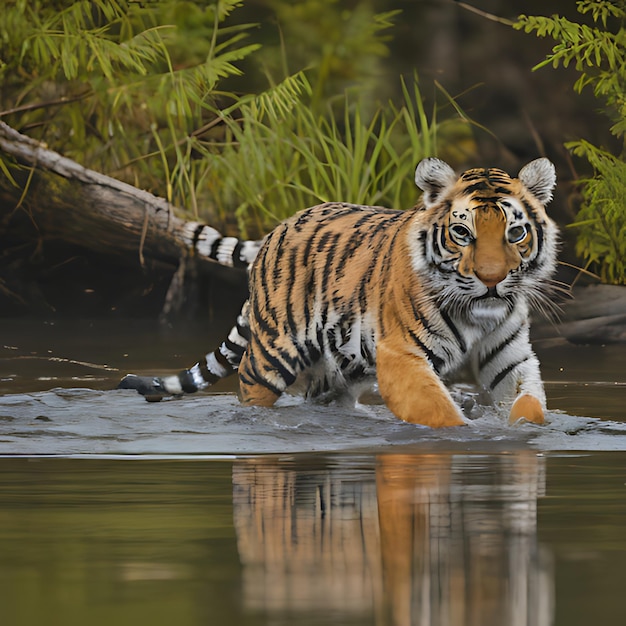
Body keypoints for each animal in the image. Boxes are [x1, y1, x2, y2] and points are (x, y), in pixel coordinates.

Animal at [119, 158, 560, 426]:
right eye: (462, 232)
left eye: (515, 233)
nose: (491, 280)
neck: (475, 314)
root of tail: (275, 231)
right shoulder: (402, 356)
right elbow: (438, 412)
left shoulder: (510, 358)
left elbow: (530, 404)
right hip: (271, 355)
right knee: (249, 389)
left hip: (340, 368)